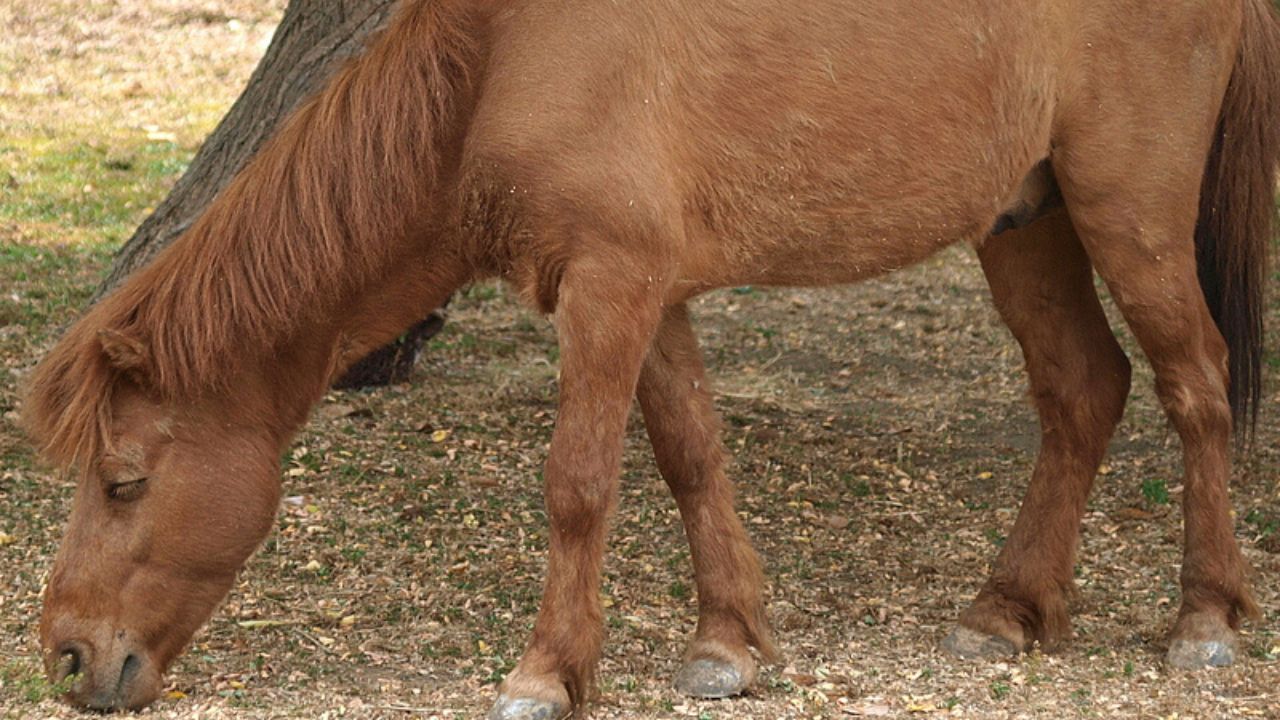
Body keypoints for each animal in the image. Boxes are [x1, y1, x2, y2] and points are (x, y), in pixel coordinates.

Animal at [22, 0, 1280, 717]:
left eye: (123, 482)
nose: (69, 659)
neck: (497, 65)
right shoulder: (653, 295)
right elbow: (688, 458)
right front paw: (727, 645)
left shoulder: (609, 290)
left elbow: (579, 484)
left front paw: (544, 675)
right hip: (1024, 221)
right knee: (1082, 391)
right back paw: (1005, 609)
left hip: (1129, 215)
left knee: (1194, 390)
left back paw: (1203, 622)